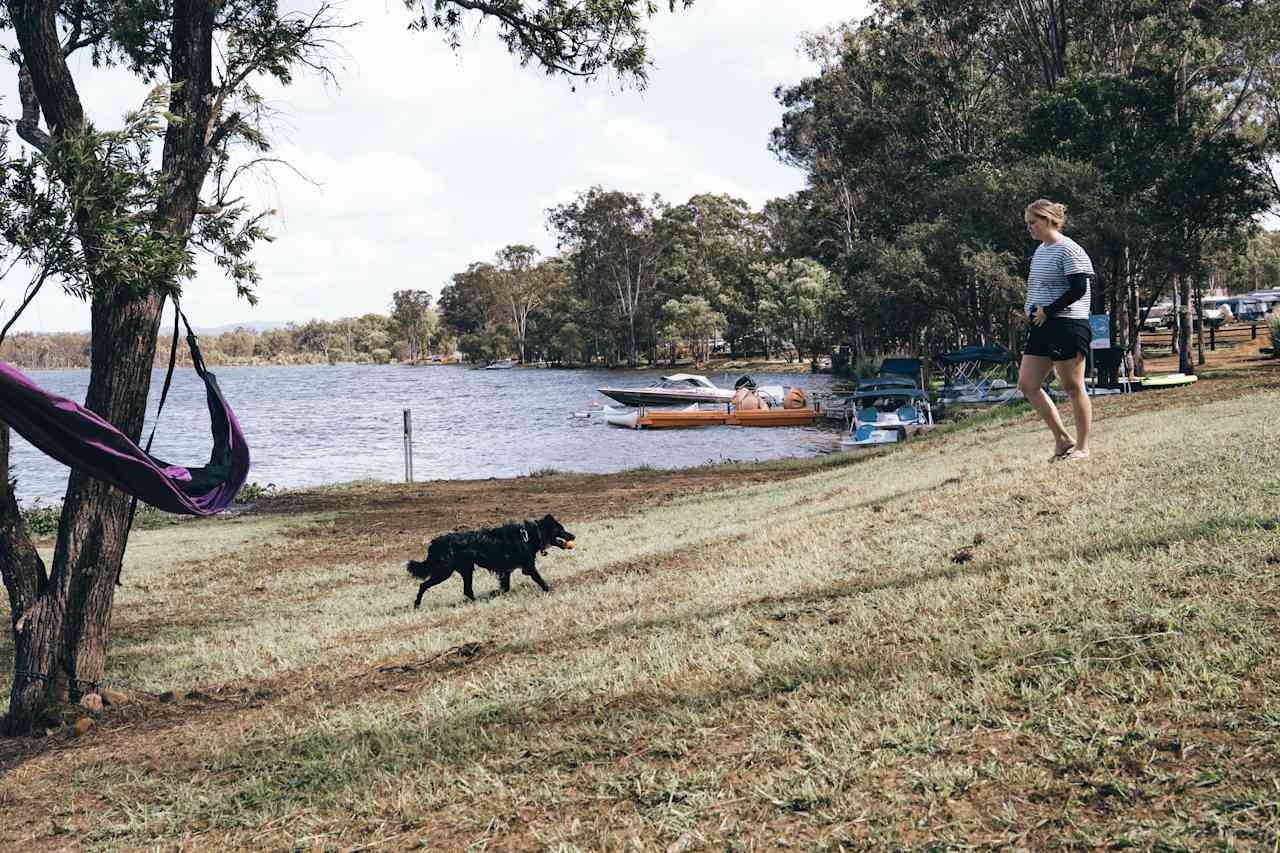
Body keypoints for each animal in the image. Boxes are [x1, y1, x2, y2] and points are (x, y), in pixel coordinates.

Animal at [404, 512, 576, 604]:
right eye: (560, 529)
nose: (573, 536)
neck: (528, 535)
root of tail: (435, 543)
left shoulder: (506, 571)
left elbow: (506, 587)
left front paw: (495, 593)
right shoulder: (528, 568)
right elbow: (541, 581)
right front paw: (551, 591)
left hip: (466, 570)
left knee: (467, 591)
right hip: (444, 572)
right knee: (423, 585)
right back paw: (417, 604)